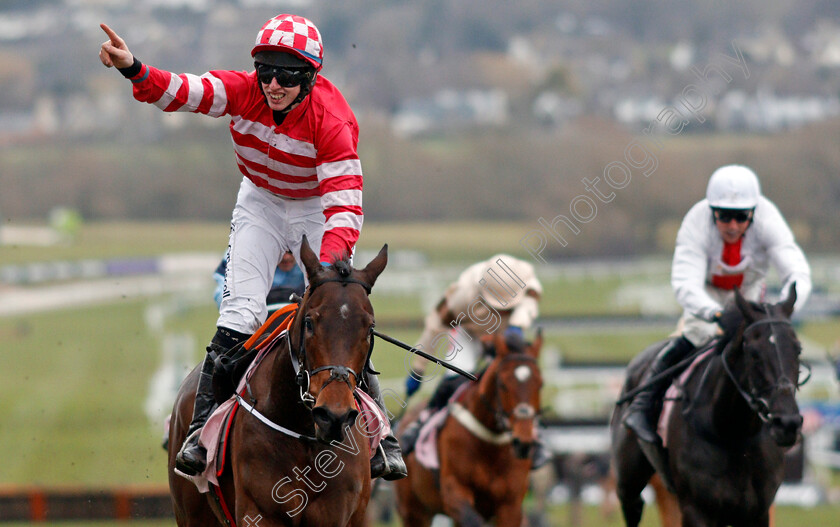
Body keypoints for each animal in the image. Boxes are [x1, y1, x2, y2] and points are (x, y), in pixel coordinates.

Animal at [168, 240, 390, 527]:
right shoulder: (260, 512)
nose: (335, 416)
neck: (306, 433)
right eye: (309, 323)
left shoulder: (337, 513)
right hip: (192, 513)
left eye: (370, 329)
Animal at [396, 328, 544, 524]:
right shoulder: (455, 493)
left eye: (540, 384)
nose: (523, 442)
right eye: (503, 384)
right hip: (414, 511)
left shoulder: (511, 505)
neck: (491, 445)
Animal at [612, 288, 808, 527]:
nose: (787, 423)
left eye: (797, 350)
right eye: (754, 354)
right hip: (629, 479)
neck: (733, 435)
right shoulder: (697, 511)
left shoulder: (758, 513)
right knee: (632, 501)